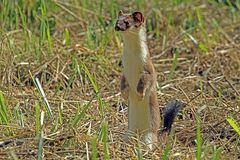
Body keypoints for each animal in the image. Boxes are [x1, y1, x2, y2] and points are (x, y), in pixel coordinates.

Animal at [115, 10, 182, 149]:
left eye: (127, 22)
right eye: (116, 20)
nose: (117, 26)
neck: (131, 61)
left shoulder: (148, 70)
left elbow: (145, 82)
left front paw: (140, 95)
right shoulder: (124, 71)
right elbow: (123, 83)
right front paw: (125, 95)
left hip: (149, 135)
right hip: (129, 132)